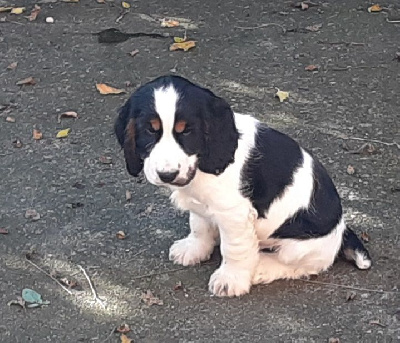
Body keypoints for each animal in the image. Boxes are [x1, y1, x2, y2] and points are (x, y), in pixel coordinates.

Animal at [114, 76, 370, 298]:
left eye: (186, 130)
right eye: (150, 130)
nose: (167, 175)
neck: (202, 163)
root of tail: (342, 231)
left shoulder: (234, 213)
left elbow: (234, 248)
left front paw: (230, 279)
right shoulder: (202, 204)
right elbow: (199, 225)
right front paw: (193, 249)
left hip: (301, 247)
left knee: (301, 265)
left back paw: (262, 266)